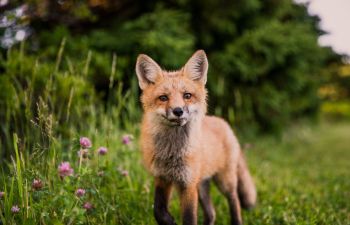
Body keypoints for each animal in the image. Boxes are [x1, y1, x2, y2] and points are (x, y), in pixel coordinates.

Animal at [135, 50, 256, 224]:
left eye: (187, 95)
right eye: (163, 98)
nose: (178, 111)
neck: (172, 152)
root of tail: (222, 122)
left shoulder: (188, 184)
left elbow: (189, 218)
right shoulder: (162, 178)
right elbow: (158, 210)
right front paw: (170, 221)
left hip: (225, 181)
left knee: (235, 202)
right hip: (202, 184)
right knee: (212, 213)